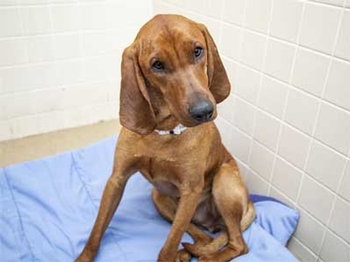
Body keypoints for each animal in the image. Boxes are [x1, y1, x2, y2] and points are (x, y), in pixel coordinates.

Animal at [76, 14, 254, 262]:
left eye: (198, 51)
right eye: (157, 65)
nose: (203, 111)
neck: (163, 133)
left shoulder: (190, 191)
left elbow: (168, 246)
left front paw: (171, 253)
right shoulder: (116, 179)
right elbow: (96, 230)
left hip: (223, 182)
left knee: (237, 244)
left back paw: (207, 257)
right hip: (158, 196)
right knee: (203, 239)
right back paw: (186, 253)